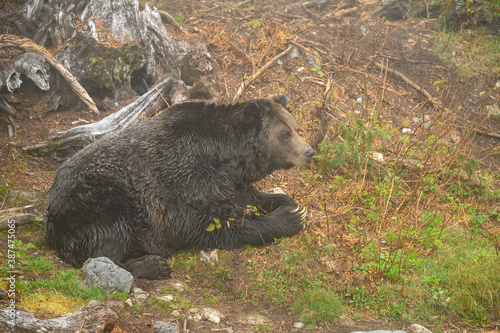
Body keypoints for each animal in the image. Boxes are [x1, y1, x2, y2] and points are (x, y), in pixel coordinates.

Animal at [46, 94, 312, 278]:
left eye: (297, 128)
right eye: (285, 134)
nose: (309, 152)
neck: (228, 158)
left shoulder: (230, 183)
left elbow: (252, 199)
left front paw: (291, 204)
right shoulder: (188, 180)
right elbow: (213, 225)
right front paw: (289, 218)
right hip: (99, 201)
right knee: (105, 246)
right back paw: (152, 265)